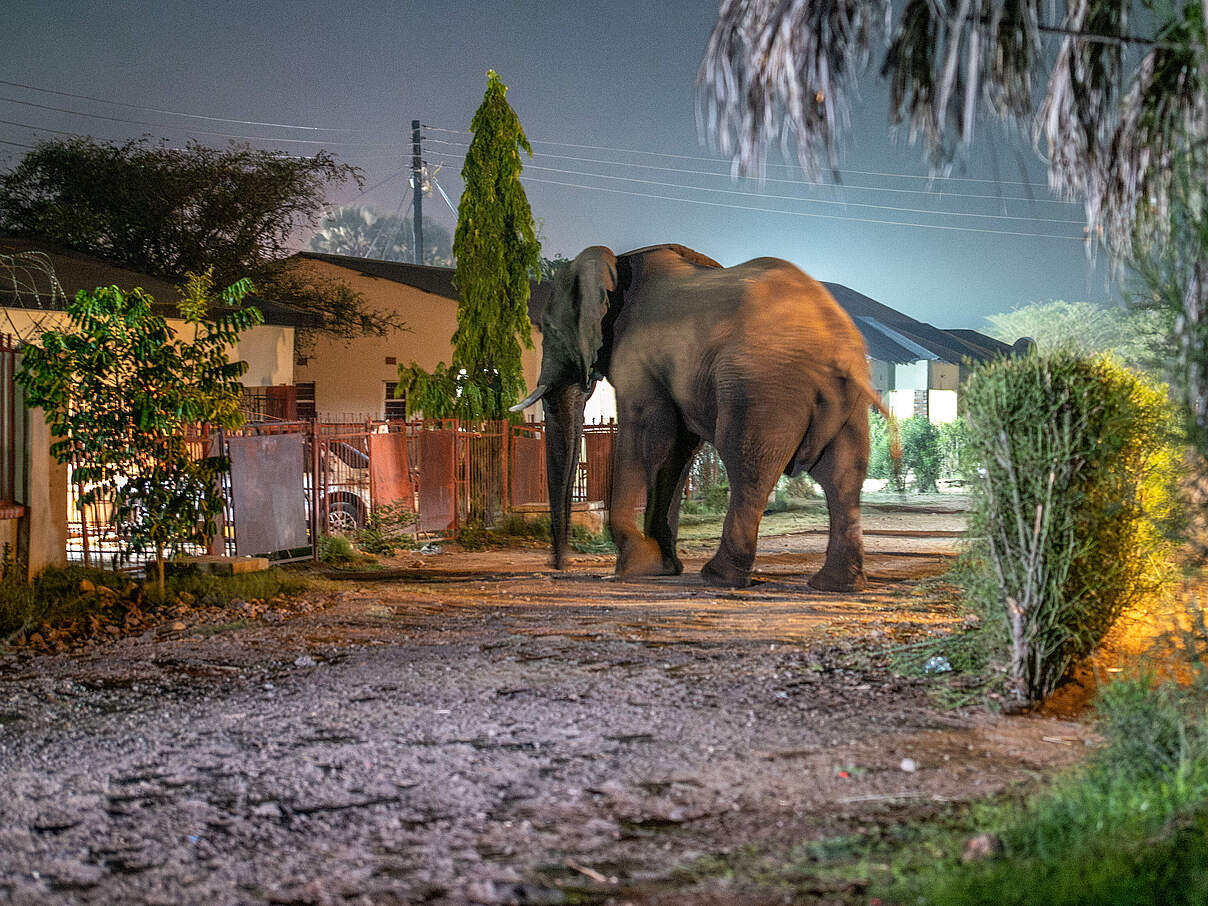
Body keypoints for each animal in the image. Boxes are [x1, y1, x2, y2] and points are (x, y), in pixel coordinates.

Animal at [509, 245, 889, 591]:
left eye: (549, 329)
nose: (559, 566)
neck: (619, 264)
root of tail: (836, 344)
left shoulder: (638, 359)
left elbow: (646, 435)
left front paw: (632, 569)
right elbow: (676, 448)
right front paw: (661, 569)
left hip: (762, 388)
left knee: (747, 467)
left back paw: (719, 577)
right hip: (843, 400)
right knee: (842, 476)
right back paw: (836, 585)